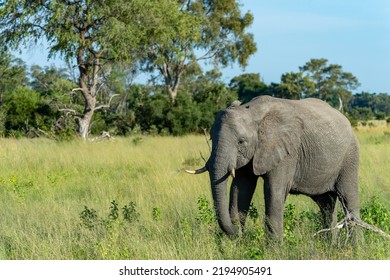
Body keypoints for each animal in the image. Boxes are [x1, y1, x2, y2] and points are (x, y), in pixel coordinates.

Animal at [187, 95, 362, 240]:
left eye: (241, 141)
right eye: (211, 137)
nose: (239, 234)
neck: (254, 112)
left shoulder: (287, 152)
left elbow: (274, 191)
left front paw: (273, 251)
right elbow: (240, 190)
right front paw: (237, 244)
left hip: (350, 156)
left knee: (348, 198)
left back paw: (354, 248)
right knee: (326, 205)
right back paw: (330, 245)